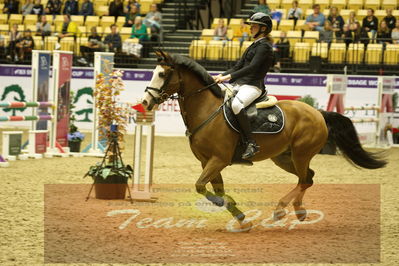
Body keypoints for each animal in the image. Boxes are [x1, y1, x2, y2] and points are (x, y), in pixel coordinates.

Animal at [141, 51, 388, 232]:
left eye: (162, 74)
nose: (145, 102)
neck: (206, 110)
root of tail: (317, 112)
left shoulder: (218, 160)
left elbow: (201, 186)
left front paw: (224, 206)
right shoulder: (207, 162)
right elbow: (215, 189)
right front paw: (242, 218)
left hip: (300, 154)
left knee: (304, 179)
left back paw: (281, 210)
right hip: (284, 158)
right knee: (308, 178)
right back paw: (298, 211)